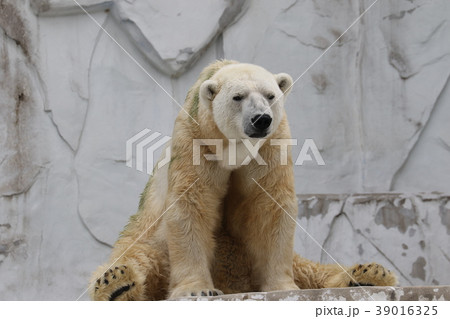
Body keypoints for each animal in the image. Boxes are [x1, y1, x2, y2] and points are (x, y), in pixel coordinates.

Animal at [89, 60, 398, 302]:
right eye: (238, 97)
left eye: (271, 95)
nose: (261, 119)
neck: (233, 148)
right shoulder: (195, 139)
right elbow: (191, 205)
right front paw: (197, 289)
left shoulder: (272, 144)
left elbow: (270, 207)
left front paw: (281, 287)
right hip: (148, 239)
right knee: (137, 258)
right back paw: (117, 283)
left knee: (312, 269)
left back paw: (369, 273)